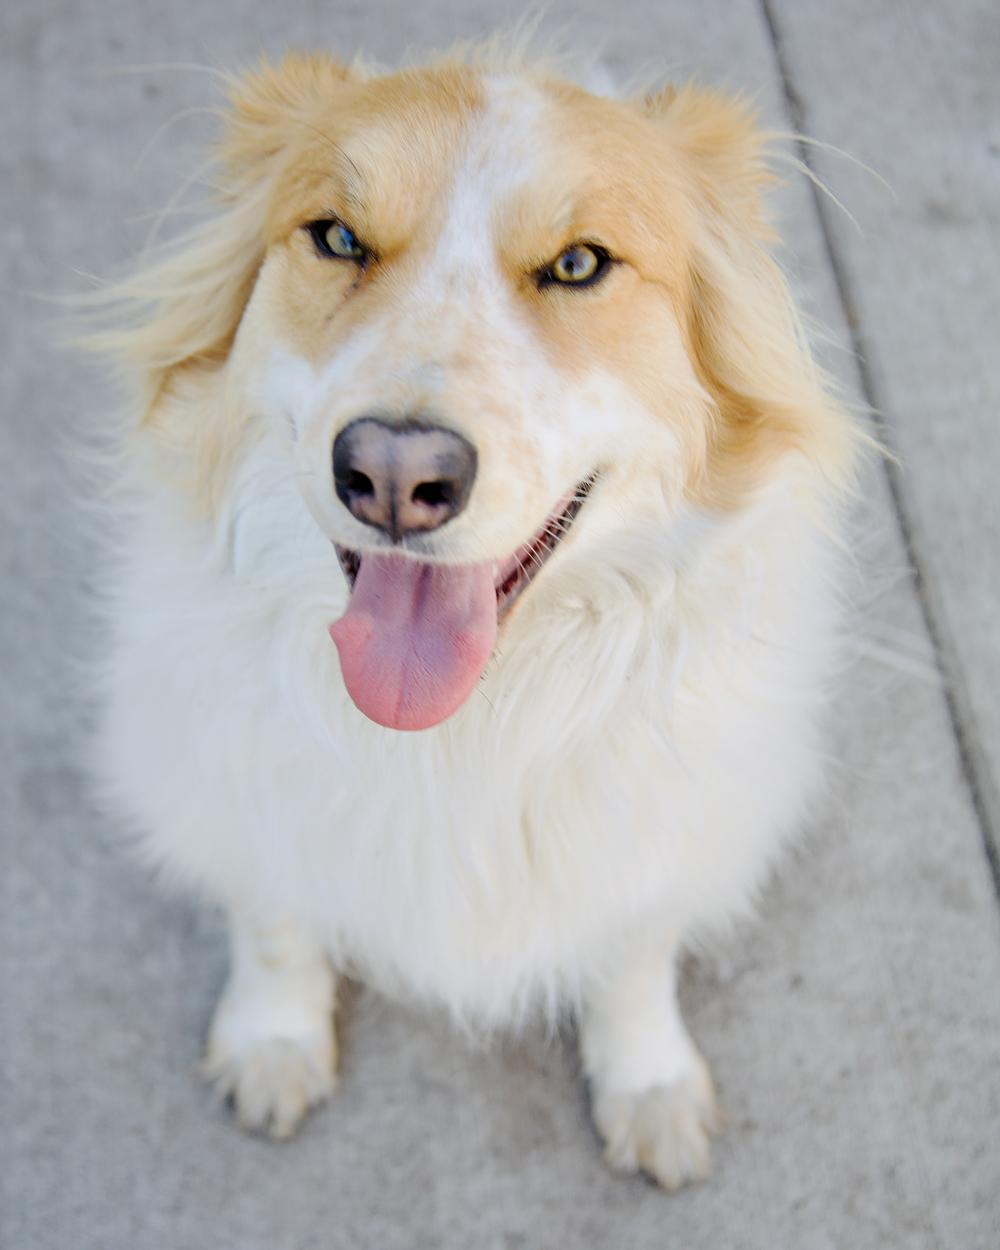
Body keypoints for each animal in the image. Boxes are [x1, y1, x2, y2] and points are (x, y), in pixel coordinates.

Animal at [91, 44, 859, 1190]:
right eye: (337, 237)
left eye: (579, 264)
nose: (394, 475)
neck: (457, 730)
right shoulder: (238, 769)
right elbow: (274, 915)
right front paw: (273, 1035)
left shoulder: (662, 821)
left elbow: (633, 951)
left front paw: (648, 1081)